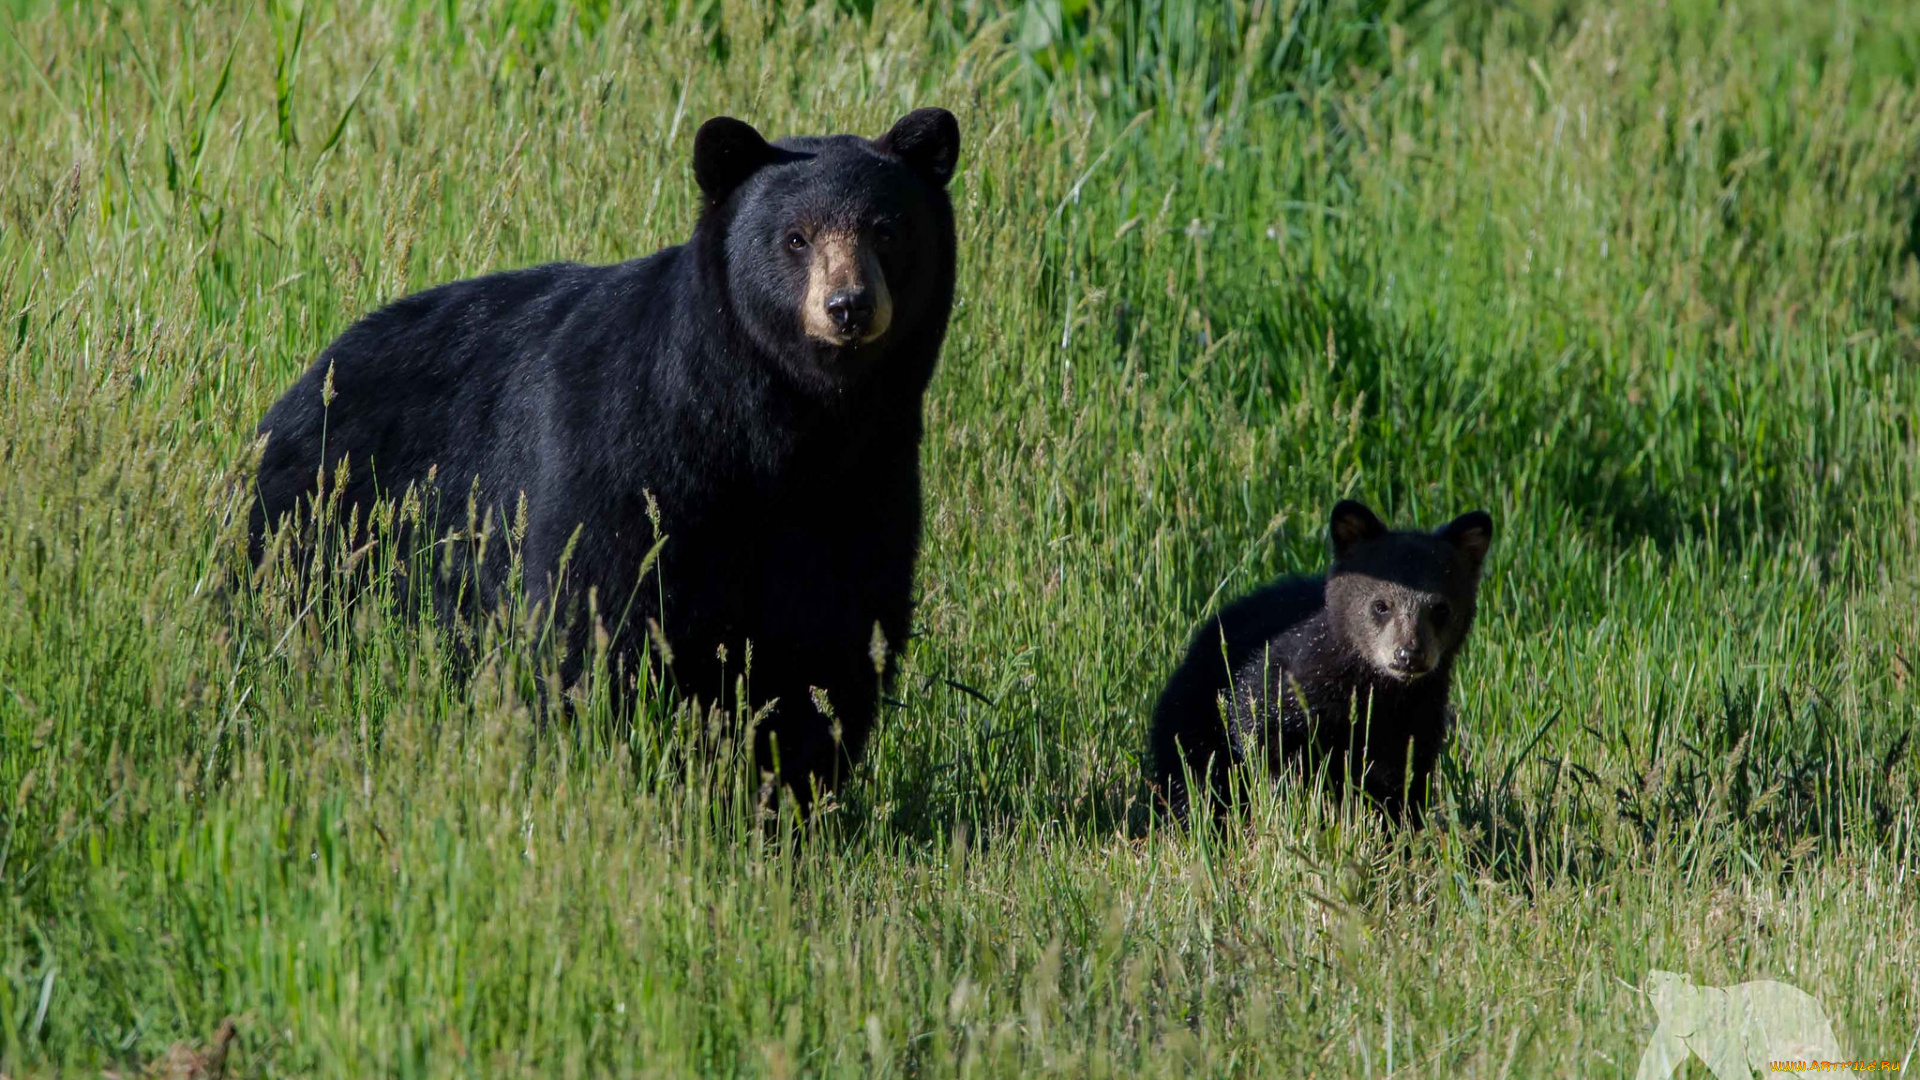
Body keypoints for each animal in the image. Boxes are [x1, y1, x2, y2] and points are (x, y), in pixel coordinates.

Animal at [255, 109, 967, 803]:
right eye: (795, 238)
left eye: (887, 229)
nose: (849, 306)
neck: (783, 426)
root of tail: (313, 374)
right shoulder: (627, 452)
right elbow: (597, 613)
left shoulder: (863, 486)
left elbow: (829, 639)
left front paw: (790, 790)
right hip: (326, 523)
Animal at [1144, 499, 1489, 818]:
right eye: (1381, 605)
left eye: (1440, 609)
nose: (1408, 655)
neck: (1379, 692)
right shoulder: (1284, 683)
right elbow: (1259, 729)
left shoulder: (1419, 714)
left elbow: (1406, 775)